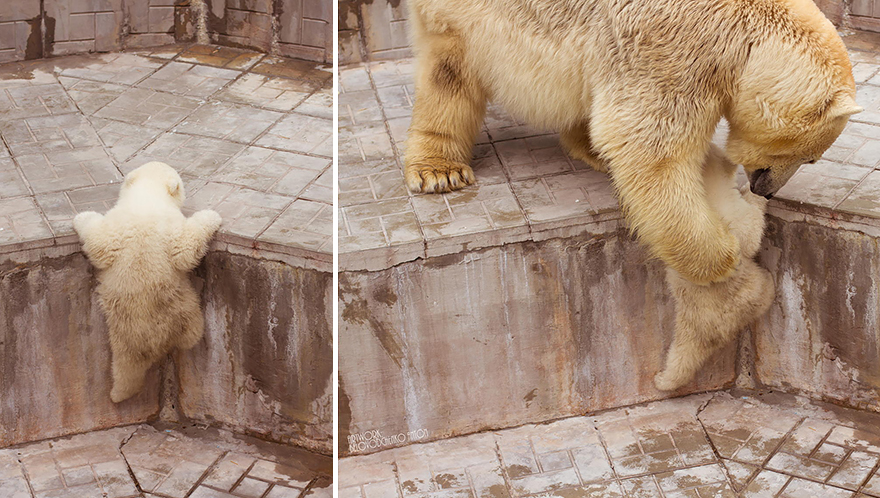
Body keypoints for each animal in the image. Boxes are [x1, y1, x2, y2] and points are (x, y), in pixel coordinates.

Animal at [73, 162, 221, 403]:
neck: (147, 198)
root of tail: (154, 343)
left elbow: (100, 242)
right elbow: (185, 247)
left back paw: (118, 393)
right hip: (175, 311)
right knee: (189, 335)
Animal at [403, 0, 861, 285]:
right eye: (811, 157)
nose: (767, 190)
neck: (746, 29)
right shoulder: (677, 45)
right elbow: (651, 149)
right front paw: (721, 257)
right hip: (464, 17)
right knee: (449, 74)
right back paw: (439, 169)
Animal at [654, 144, 775, 391]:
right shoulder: (732, 213)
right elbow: (750, 232)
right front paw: (753, 193)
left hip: (685, 317)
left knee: (681, 352)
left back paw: (663, 378)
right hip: (746, 294)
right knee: (762, 290)